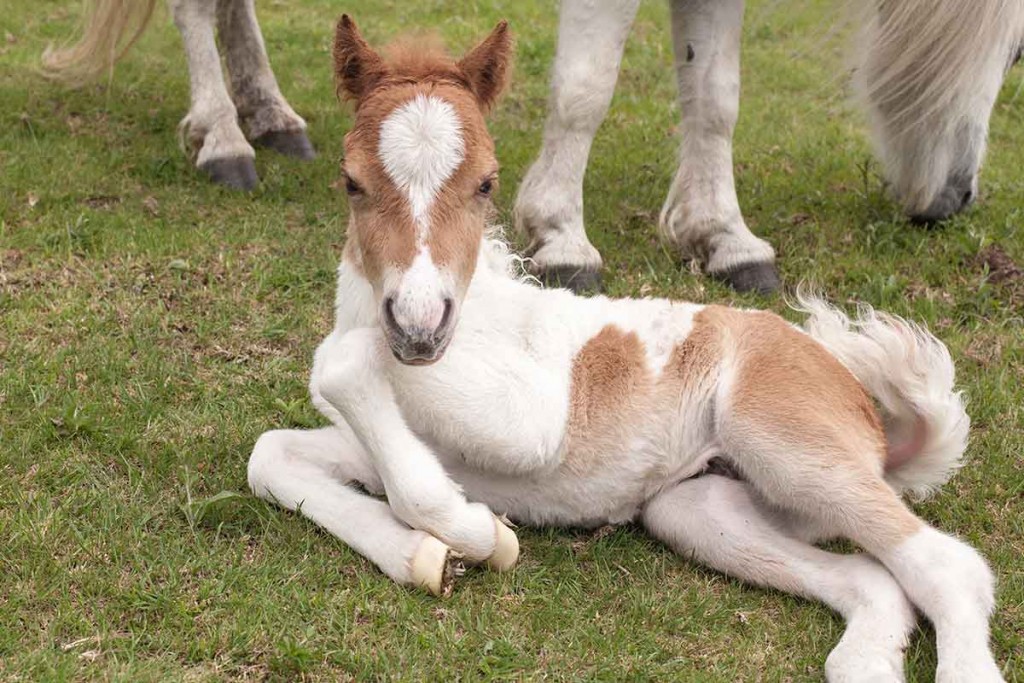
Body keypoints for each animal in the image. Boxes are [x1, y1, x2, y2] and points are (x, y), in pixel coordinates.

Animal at [514, 0, 1024, 294]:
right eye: (1017, 51)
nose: (957, 198)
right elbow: (586, 88)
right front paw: (562, 238)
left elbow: (715, 96)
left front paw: (726, 236)